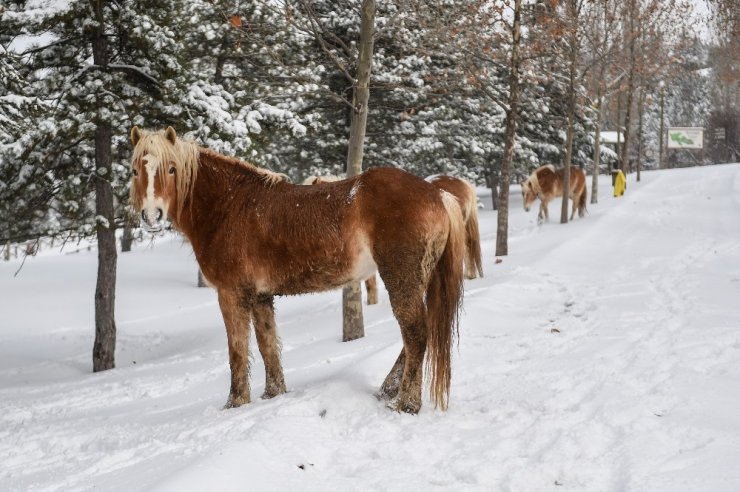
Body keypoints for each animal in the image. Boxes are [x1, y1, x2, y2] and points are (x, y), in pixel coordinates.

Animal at [127, 127, 462, 412]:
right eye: (134, 170)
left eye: (171, 168)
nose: (152, 216)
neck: (229, 207)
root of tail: (437, 194)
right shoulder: (260, 296)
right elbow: (267, 346)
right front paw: (272, 395)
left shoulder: (231, 294)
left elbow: (237, 350)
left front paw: (236, 403)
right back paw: (387, 391)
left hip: (401, 278)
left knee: (415, 334)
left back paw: (406, 404)